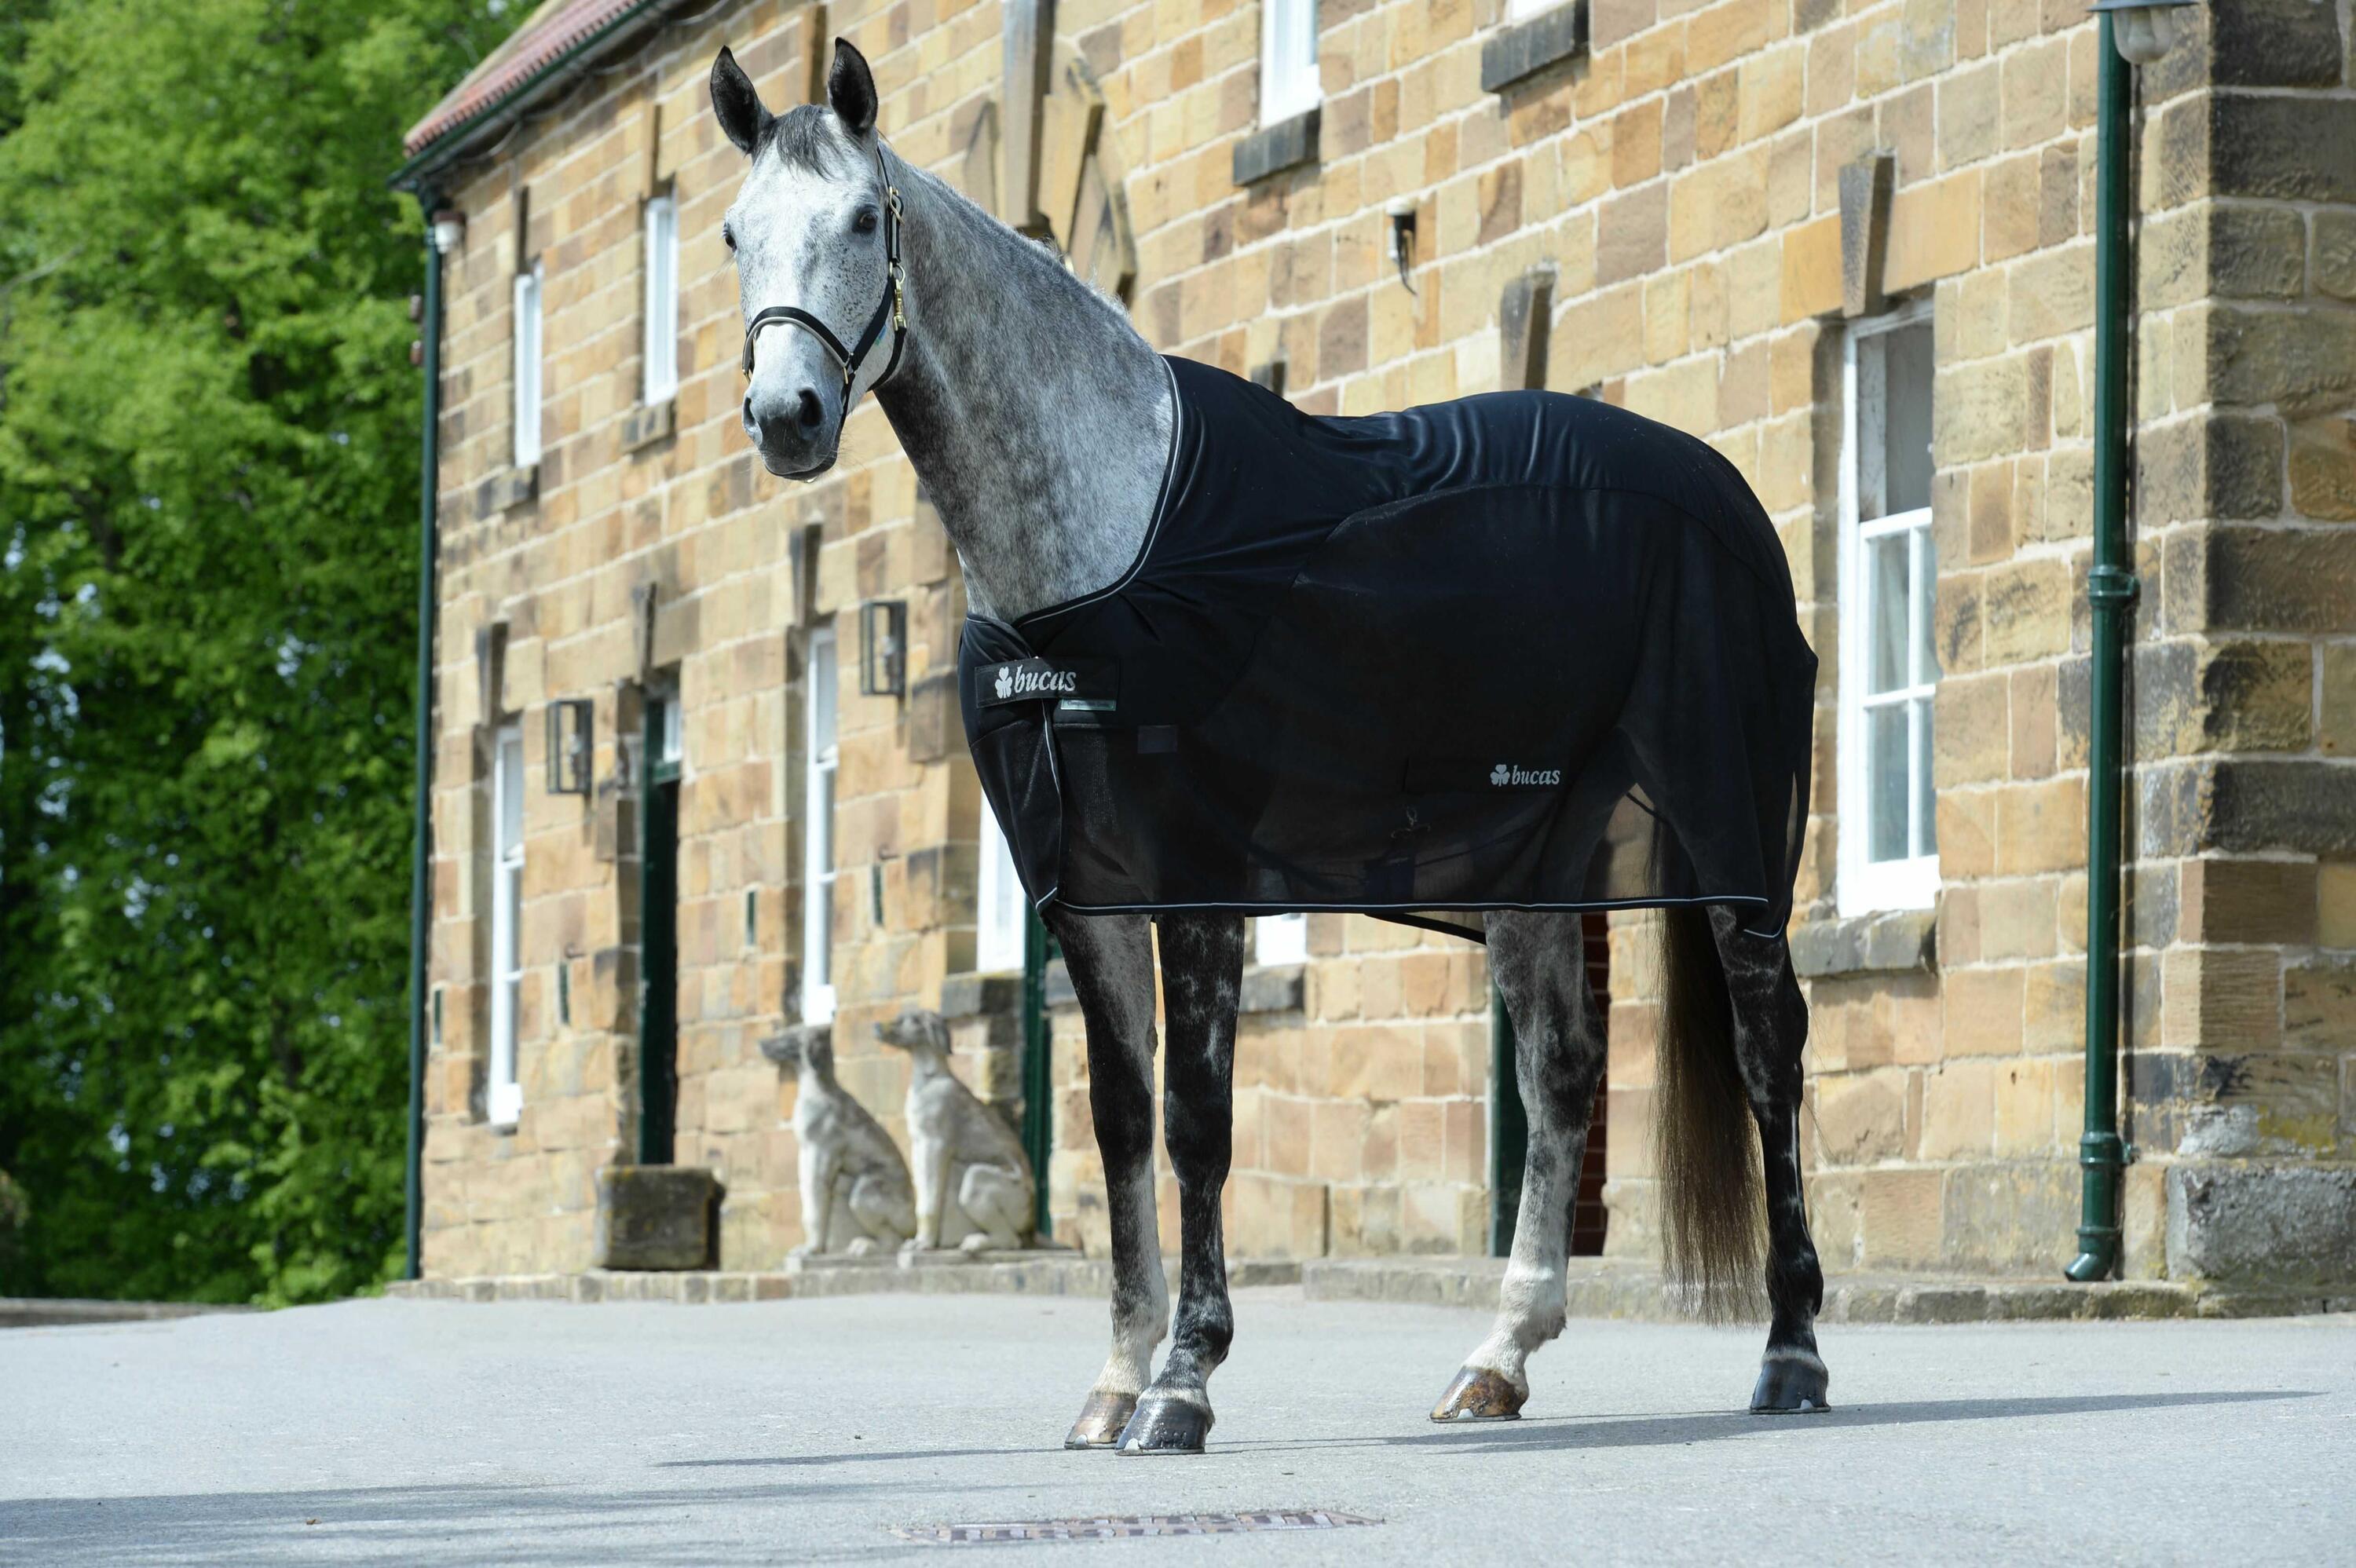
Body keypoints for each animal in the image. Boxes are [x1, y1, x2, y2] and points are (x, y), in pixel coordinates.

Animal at [711, 37, 1829, 1455]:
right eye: (736, 232)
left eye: (865, 219)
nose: (788, 415)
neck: (1114, 532)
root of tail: (1723, 490)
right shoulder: (1085, 894)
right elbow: (1121, 1119)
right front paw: (1114, 1380)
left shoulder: (1197, 879)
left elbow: (1199, 1120)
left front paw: (1183, 1381)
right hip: (1536, 859)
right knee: (1565, 1070)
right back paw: (1497, 1359)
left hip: (1728, 836)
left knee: (1769, 1054)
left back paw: (1791, 1353)